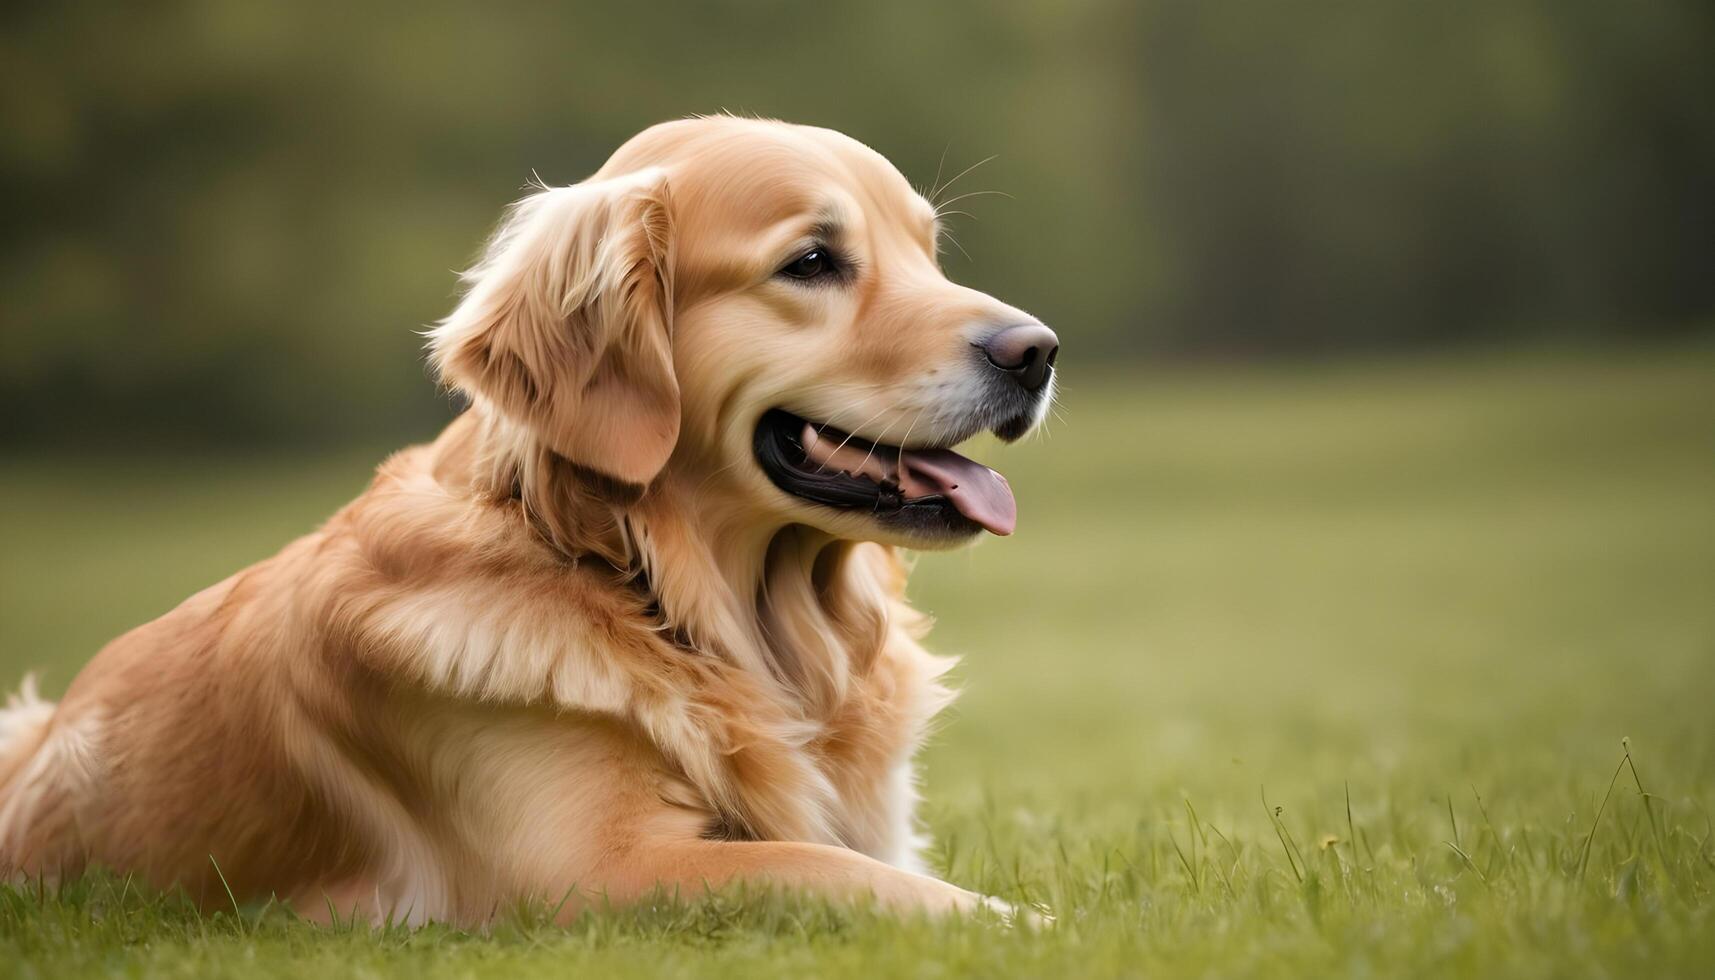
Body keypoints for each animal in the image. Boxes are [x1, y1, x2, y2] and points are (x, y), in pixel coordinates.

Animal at [0, 116, 1056, 926]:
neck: (642, 586)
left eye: (927, 253)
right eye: (810, 261)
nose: (1037, 350)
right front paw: (1031, 925)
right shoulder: (598, 872)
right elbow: (838, 874)